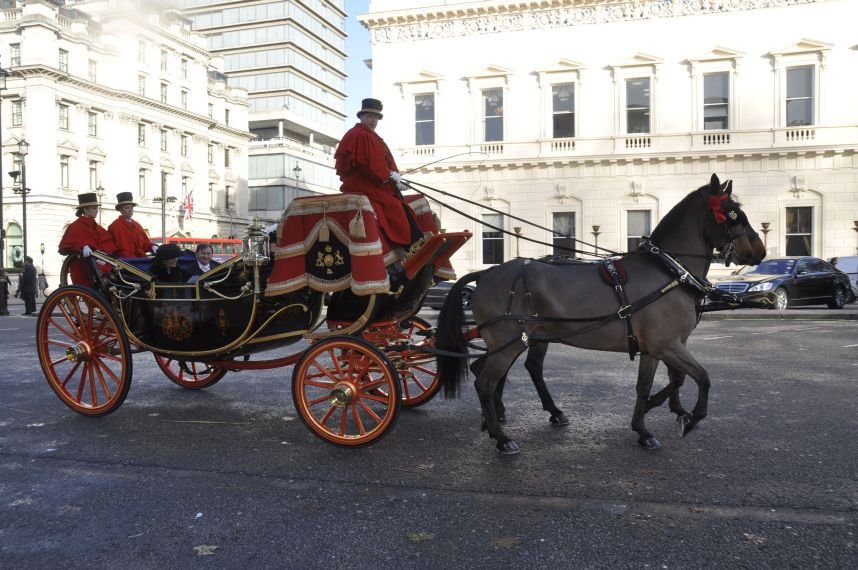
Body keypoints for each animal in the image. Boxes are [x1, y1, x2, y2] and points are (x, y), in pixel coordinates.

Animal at [438, 173, 764, 452]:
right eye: (732, 214)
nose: (759, 250)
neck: (668, 271)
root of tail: (486, 274)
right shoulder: (666, 345)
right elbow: (702, 378)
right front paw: (689, 417)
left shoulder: (656, 348)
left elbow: (652, 384)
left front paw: (644, 425)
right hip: (510, 342)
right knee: (485, 382)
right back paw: (501, 436)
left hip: (516, 341)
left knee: (491, 372)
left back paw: (501, 419)